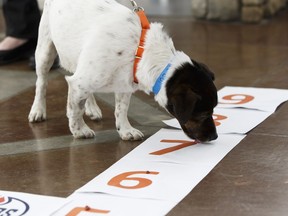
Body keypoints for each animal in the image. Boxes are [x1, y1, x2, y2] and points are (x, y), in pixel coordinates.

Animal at [28, 0, 218, 143]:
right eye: (203, 114)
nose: (215, 136)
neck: (139, 49)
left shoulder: (124, 84)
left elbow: (121, 109)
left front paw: (125, 130)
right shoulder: (79, 82)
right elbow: (75, 110)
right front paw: (79, 130)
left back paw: (92, 108)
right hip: (45, 51)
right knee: (41, 82)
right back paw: (38, 110)